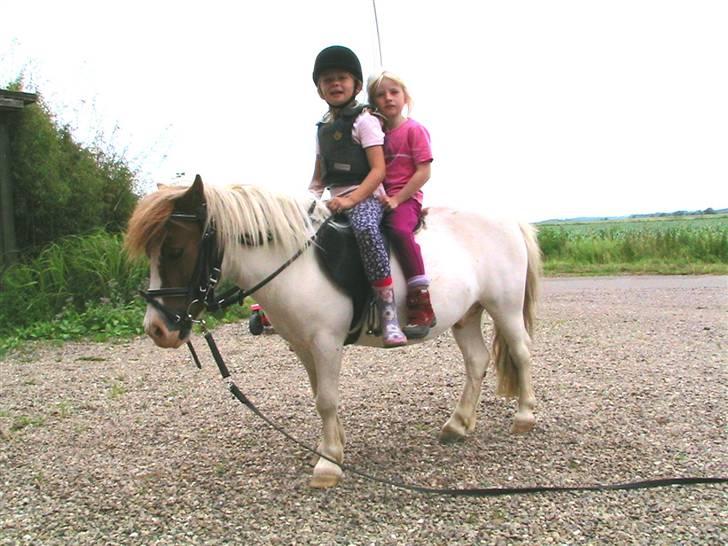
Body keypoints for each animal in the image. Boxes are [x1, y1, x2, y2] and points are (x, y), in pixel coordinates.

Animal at [125, 175, 542, 488]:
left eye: (176, 250)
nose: (157, 329)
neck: (296, 261)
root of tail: (512, 221)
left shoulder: (326, 342)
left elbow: (326, 399)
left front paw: (327, 466)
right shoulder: (302, 345)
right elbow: (319, 396)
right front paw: (333, 448)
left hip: (503, 307)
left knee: (521, 353)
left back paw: (524, 417)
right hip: (466, 315)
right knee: (477, 361)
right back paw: (457, 425)